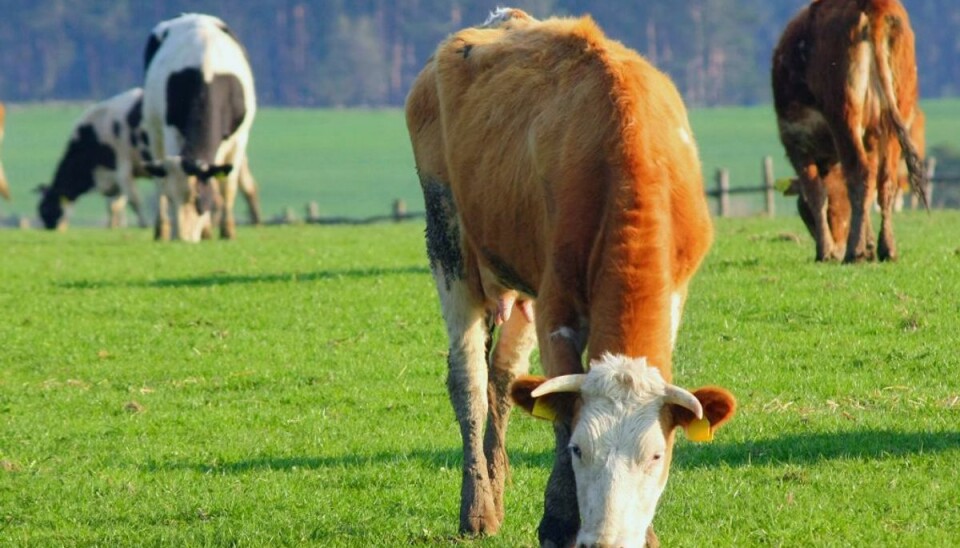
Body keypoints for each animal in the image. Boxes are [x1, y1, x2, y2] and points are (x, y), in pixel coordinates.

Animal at [141, 13, 256, 241]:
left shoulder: (239, 137)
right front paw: (207, 230)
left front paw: (227, 230)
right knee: (157, 179)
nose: (182, 239)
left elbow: (227, 186)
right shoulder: (170, 130)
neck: (207, 73)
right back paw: (161, 229)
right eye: (172, 198)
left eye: (198, 198)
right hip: (153, 128)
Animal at [404, 9, 736, 548]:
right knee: (469, 378)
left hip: (517, 280)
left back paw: (497, 480)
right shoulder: (556, 302)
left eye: (657, 454)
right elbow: (557, 410)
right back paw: (478, 506)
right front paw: (559, 519)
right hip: (448, 238)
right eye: (581, 450)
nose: (607, 539)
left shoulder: (674, 292)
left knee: (503, 378)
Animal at [768, 0, 928, 264]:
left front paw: (825, 251)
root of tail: (876, 6)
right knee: (884, 181)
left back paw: (854, 251)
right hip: (897, 114)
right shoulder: (870, 138)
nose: (837, 247)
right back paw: (886, 248)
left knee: (859, 173)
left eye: (805, 215)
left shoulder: (796, 142)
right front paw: (869, 243)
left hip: (844, 114)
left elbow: (816, 193)